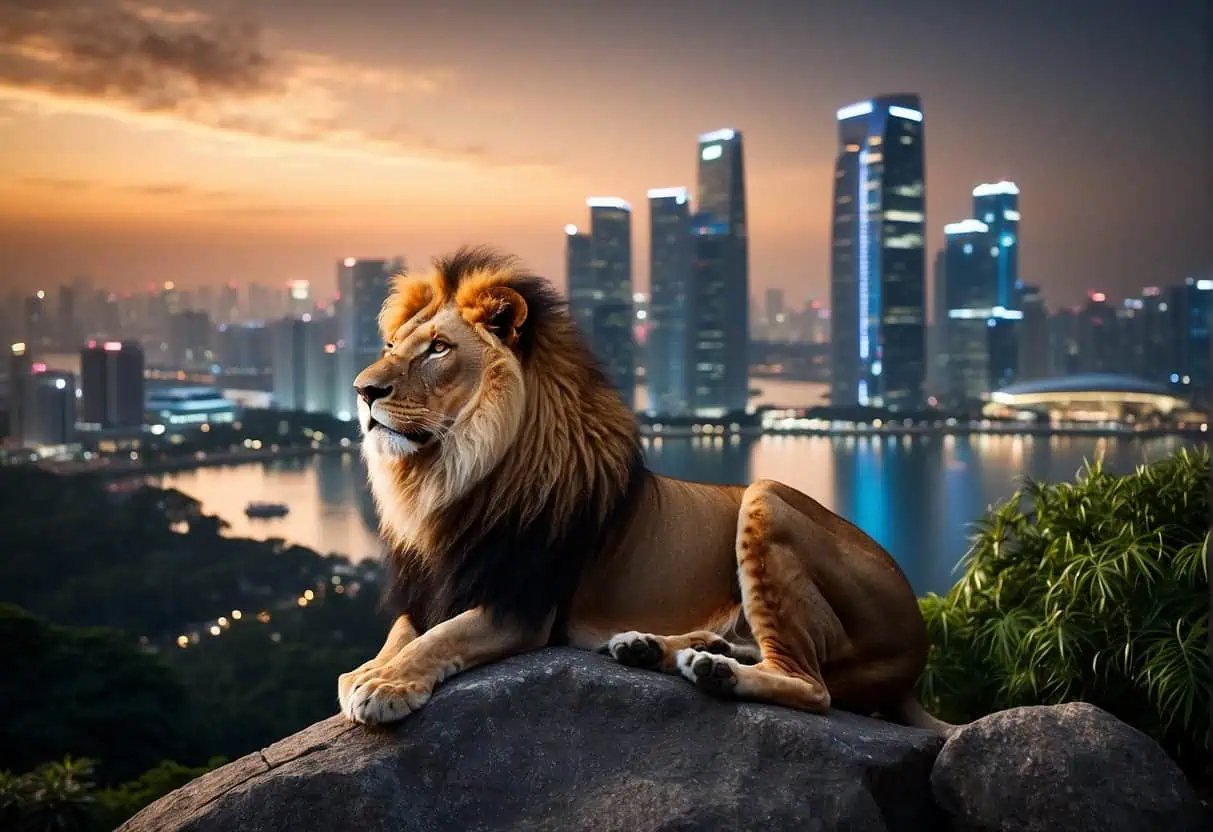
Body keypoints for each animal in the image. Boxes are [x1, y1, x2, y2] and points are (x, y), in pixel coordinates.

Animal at [337, 246, 954, 735]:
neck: (448, 475)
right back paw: (658, 648)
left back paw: (715, 670)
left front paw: (385, 686)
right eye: (391, 344)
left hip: (766, 493)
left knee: (812, 685)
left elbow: (439, 639)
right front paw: (366, 671)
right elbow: (400, 634)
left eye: (438, 348)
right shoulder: (429, 591)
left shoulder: (523, 606)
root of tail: (915, 658)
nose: (362, 390)